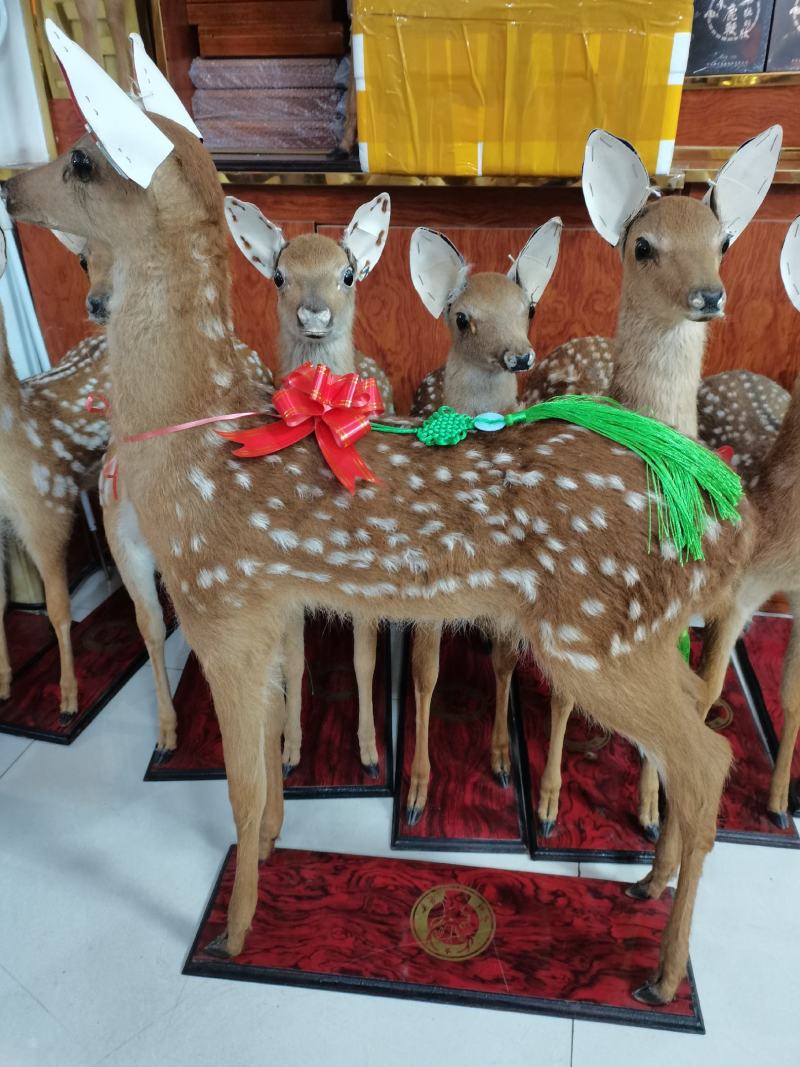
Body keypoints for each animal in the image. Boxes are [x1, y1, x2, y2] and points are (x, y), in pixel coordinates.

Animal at [225, 193, 393, 778]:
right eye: (279, 275)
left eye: (347, 273)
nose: (314, 313)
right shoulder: (286, 581)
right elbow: (294, 660)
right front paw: (291, 751)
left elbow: (365, 662)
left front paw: (369, 753)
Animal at [404, 220, 562, 822]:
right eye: (462, 317)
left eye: (529, 308)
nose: (519, 356)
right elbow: (425, 673)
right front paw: (417, 791)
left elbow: (505, 663)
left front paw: (500, 760)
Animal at [517, 127, 782, 841]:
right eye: (643, 246)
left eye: (723, 241)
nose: (710, 296)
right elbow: (562, 697)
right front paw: (549, 804)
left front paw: (648, 810)